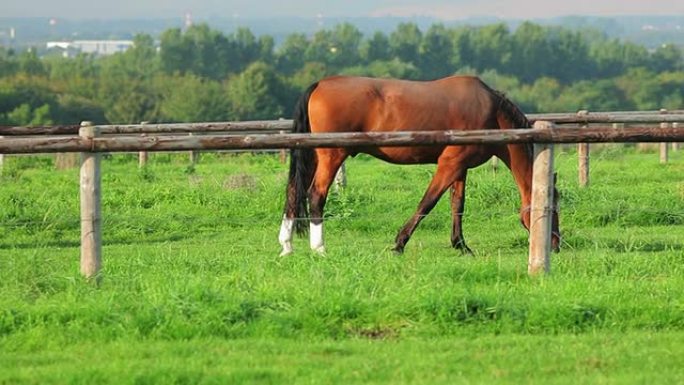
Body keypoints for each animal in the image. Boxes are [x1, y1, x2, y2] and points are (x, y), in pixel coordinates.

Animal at [280, 75, 560, 255]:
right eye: (553, 207)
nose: (556, 244)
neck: (491, 114)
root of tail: (319, 85)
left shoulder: (461, 168)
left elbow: (457, 205)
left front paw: (461, 245)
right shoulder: (449, 164)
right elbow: (427, 202)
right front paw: (399, 243)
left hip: (313, 157)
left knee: (294, 193)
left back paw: (287, 246)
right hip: (331, 156)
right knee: (316, 196)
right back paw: (319, 248)